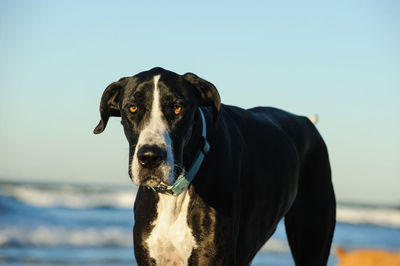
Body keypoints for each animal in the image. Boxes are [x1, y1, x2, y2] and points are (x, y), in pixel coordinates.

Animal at [95, 68, 336, 266]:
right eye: (132, 107)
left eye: (178, 108)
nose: (150, 157)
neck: (176, 195)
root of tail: (306, 121)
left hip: (313, 240)